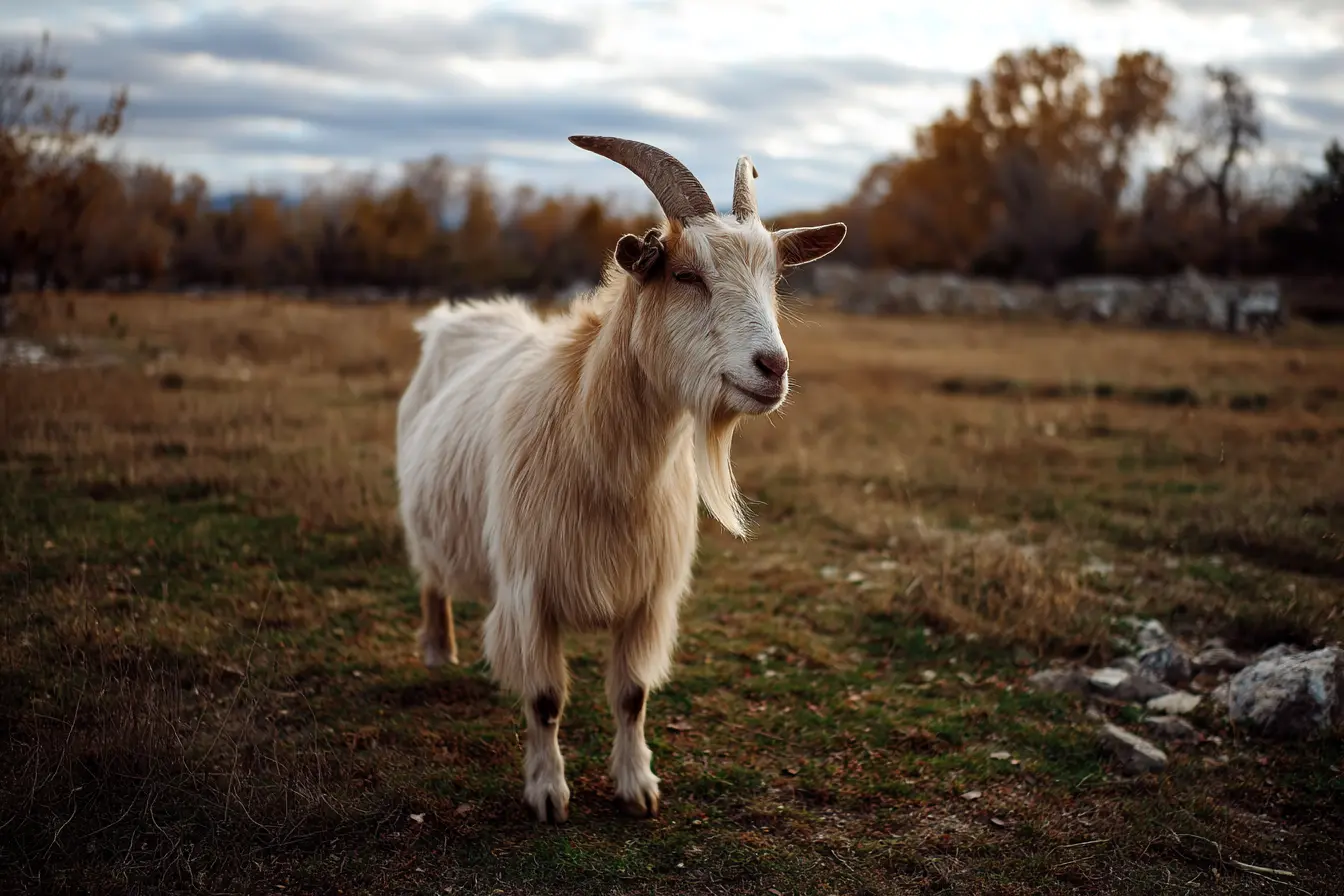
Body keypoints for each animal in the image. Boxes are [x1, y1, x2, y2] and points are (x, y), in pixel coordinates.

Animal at [395, 135, 846, 823]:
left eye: (773, 278)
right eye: (686, 275)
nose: (773, 367)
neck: (603, 458)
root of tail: (459, 318)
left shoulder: (649, 595)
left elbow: (632, 695)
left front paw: (637, 786)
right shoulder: (530, 589)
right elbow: (545, 699)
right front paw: (548, 793)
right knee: (430, 577)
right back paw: (436, 648)